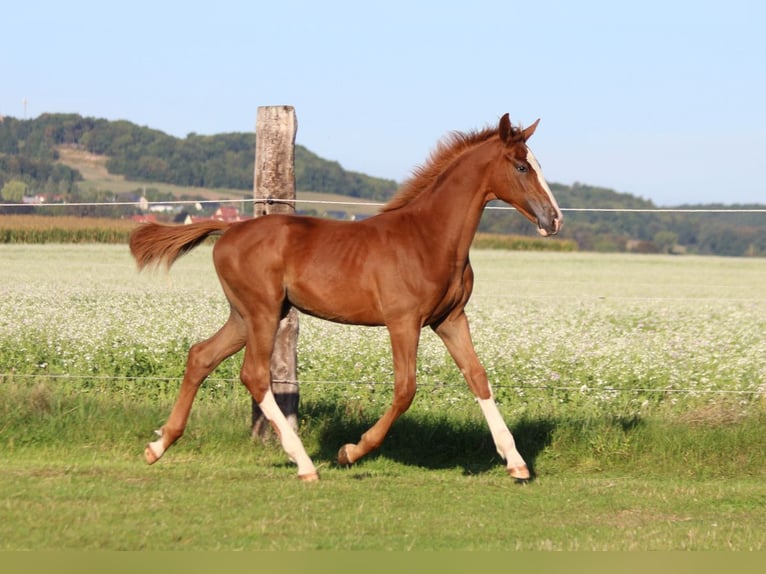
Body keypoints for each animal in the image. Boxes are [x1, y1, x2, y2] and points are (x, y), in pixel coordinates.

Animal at [129, 113, 562, 482]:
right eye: (521, 167)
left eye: (538, 164)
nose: (554, 219)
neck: (429, 237)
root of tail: (228, 231)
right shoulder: (403, 321)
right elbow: (405, 389)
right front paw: (350, 451)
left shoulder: (451, 319)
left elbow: (478, 377)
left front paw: (517, 463)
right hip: (262, 312)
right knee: (253, 374)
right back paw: (305, 464)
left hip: (245, 315)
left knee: (201, 355)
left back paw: (157, 446)